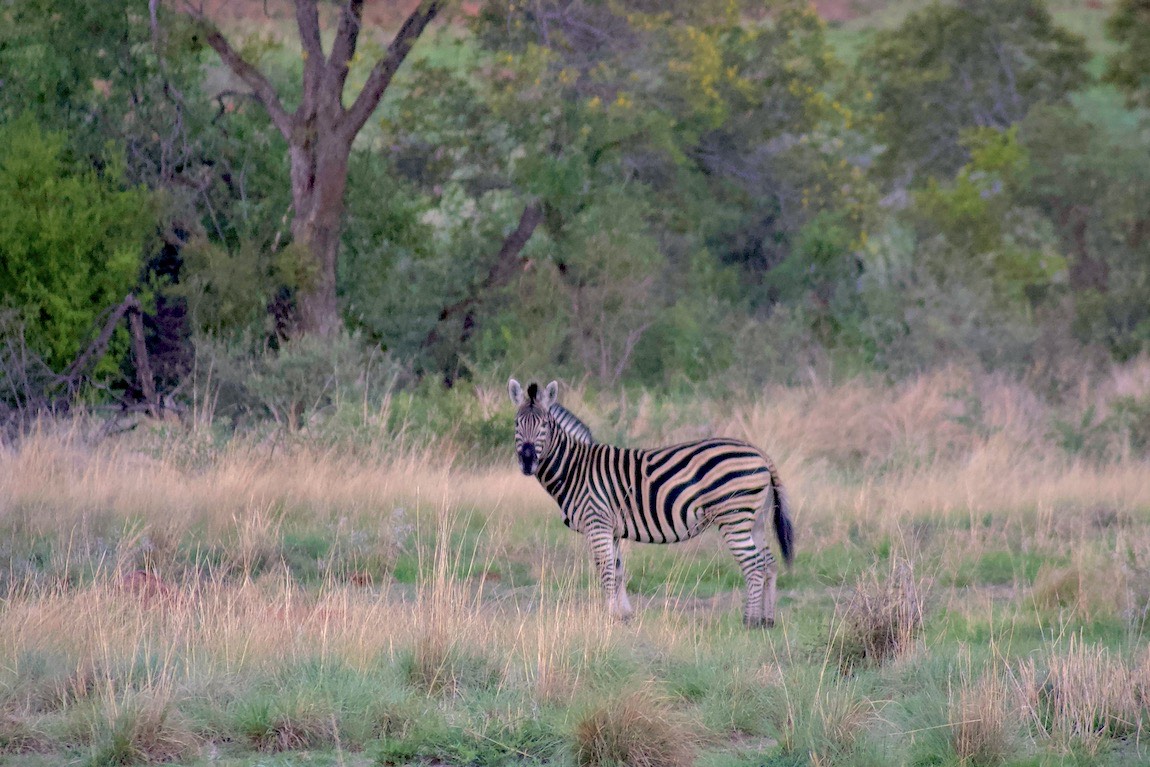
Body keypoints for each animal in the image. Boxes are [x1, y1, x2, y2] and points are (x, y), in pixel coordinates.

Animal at [509, 378, 794, 628]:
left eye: (545, 424)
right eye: (516, 423)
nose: (526, 461)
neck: (575, 469)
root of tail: (760, 453)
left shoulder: (597, 523)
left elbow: (606, 572)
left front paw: (607, 618)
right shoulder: (612, 529)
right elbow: (618, 571)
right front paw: (623, 616)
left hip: (734, 516)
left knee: (754, 565)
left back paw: (749, 621)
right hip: (755, 519)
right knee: (768, 564)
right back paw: (767, 621)